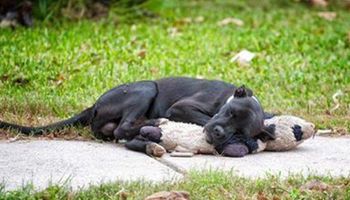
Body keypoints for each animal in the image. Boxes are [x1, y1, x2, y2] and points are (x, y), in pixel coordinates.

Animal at [0, 76, 272, 145]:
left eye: (240, 133)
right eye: (229, 114)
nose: (218, 133)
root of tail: (94, 106)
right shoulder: (182, 108)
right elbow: (201, 117)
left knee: (117, 131)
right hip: (146, 88)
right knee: (122, 128)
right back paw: (155, 123)